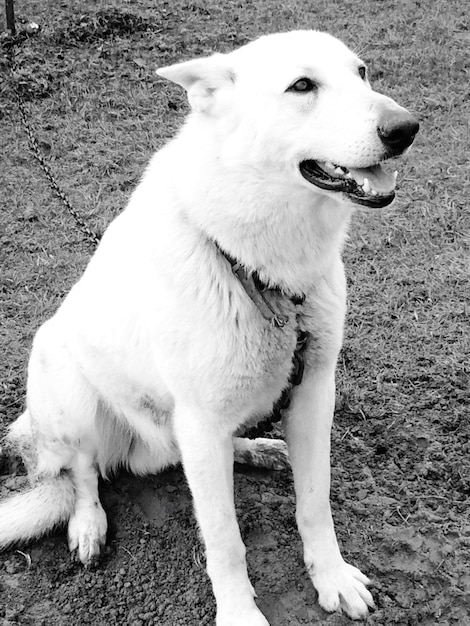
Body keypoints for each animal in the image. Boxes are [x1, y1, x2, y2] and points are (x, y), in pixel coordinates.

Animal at [0, 30, 418, 624]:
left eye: (361, 73)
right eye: (302, 85)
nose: (406, 128)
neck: (261, 268)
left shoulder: (314, 391)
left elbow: (315, 504)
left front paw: (331, 577)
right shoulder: (200, 418)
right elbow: (224, 540)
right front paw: (240, 613)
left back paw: (256, 449)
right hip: (67, 385)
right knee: (82, 474)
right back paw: (87, 523)